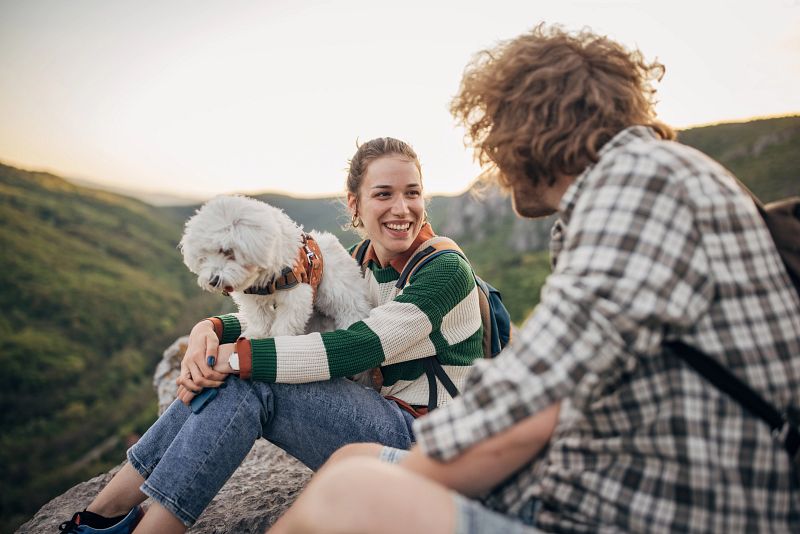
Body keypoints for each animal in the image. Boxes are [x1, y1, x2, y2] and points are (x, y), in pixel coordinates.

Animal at [180, 196, 370, 340]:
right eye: (203, 257)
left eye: (227, 251)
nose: (213, 281)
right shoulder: (253, 298)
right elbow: (260, 317)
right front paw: (256, 334)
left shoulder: (296, 294)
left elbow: (285, 324)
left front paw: (278, 339)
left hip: (343, 296)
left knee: (351, 311)